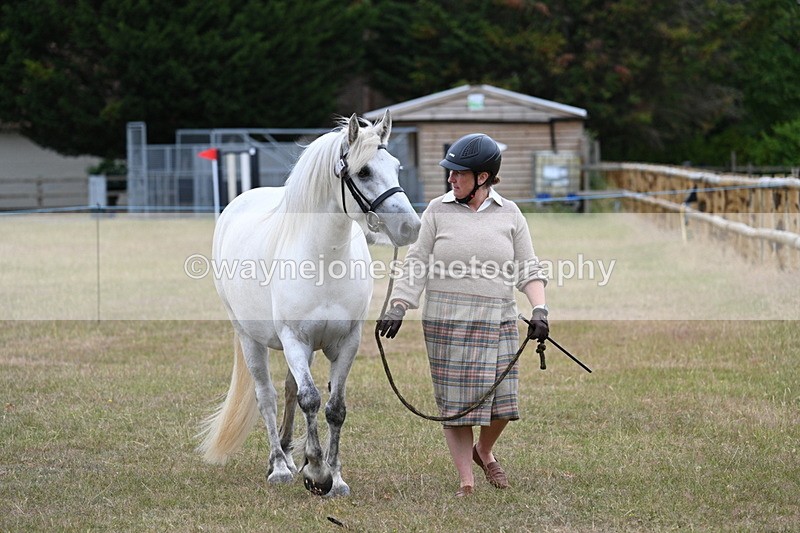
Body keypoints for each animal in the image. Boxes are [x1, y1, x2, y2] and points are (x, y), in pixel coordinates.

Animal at [197, 111, 421, 497]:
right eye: (363, 172)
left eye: (396, 166)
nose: (410, 227)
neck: (324, 261)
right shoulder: (294, 341)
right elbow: (311, 399)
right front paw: (316, 472)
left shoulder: (346, 343)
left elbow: (334, 408)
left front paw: (336, 477)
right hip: (250, 339)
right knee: (268, 396)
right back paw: (279, 466)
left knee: (289, 391)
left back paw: (288, 455)